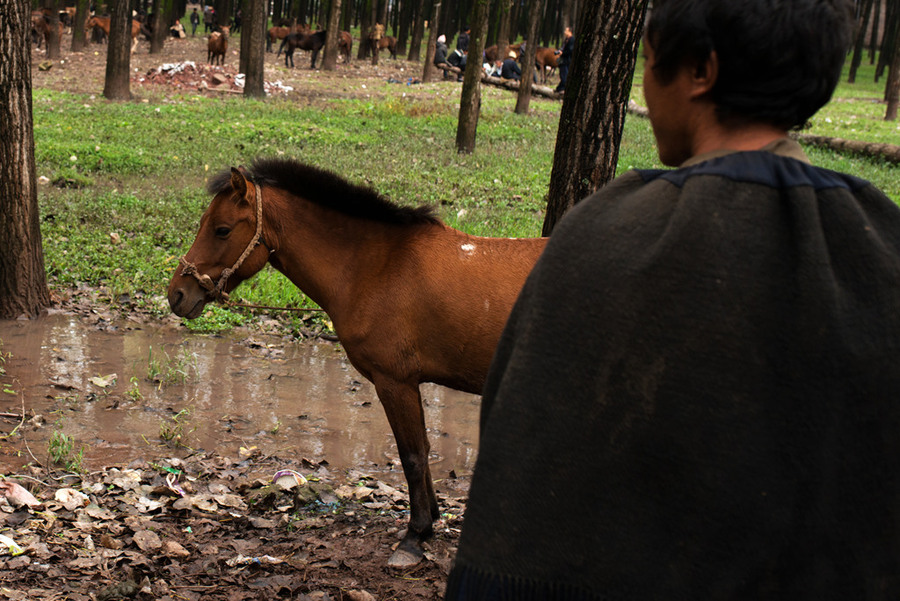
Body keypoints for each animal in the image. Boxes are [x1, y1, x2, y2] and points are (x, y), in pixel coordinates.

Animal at [169, 159, 548, 568]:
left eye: (222, 229)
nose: (176, 294)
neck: (379, 265)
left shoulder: (394, 381)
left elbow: (413, 456)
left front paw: (415, 534)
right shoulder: (410, 382)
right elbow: (425, 448)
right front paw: (431, 519)